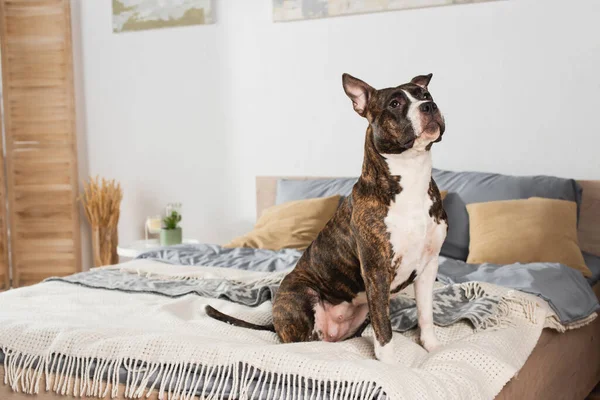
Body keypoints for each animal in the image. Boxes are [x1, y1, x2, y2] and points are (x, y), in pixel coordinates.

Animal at [206, 72, 446, 362]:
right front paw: (390, 363)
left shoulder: (428, 266)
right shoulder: (376, 271)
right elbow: (384, 327)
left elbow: (425, 315)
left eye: (426, 95)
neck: (411, 177)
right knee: (300, 343)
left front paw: (433, 348)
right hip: (301, 295)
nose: (429, 107)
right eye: (395, 103)